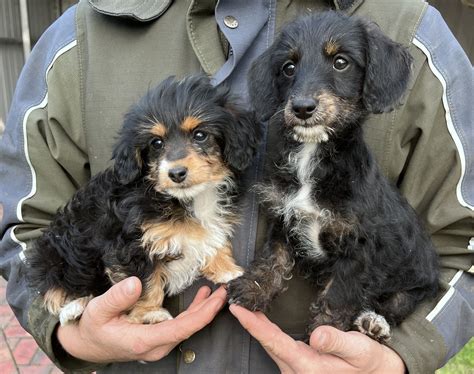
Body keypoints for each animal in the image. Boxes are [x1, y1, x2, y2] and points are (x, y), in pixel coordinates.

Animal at [27, 75, 262, 324]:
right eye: (156, 143)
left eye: (200, 135)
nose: (176, 173)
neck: (185, 199)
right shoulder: (132, 245)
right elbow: (145, 281)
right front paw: (150, 313)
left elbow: (212, 239)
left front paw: (227, 269)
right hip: (58, 256)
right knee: (53, 289)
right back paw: (75, 305)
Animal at [228, 11, 438, 344]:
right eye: (288, 67)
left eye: (341, 62)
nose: (302, 107)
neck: (313, 154)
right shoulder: (285, 218)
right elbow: (273, 259)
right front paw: (252, 288)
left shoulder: (359, 250)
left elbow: (338, 295)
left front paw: (324, 332)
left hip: (410, 286)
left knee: (395, 306)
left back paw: (374, 322)